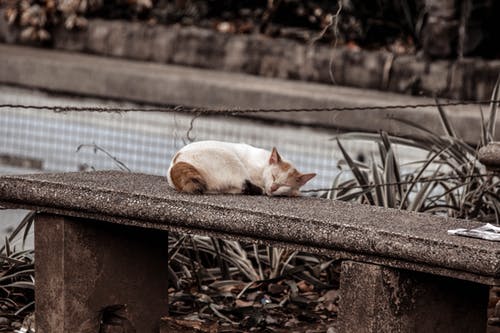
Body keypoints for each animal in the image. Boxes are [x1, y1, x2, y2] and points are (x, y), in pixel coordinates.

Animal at [168, 139, 316, 196]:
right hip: (231, 160)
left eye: (285, 184)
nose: (274, 187)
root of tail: (177, 162)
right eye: (273, 176)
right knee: (243, 183)